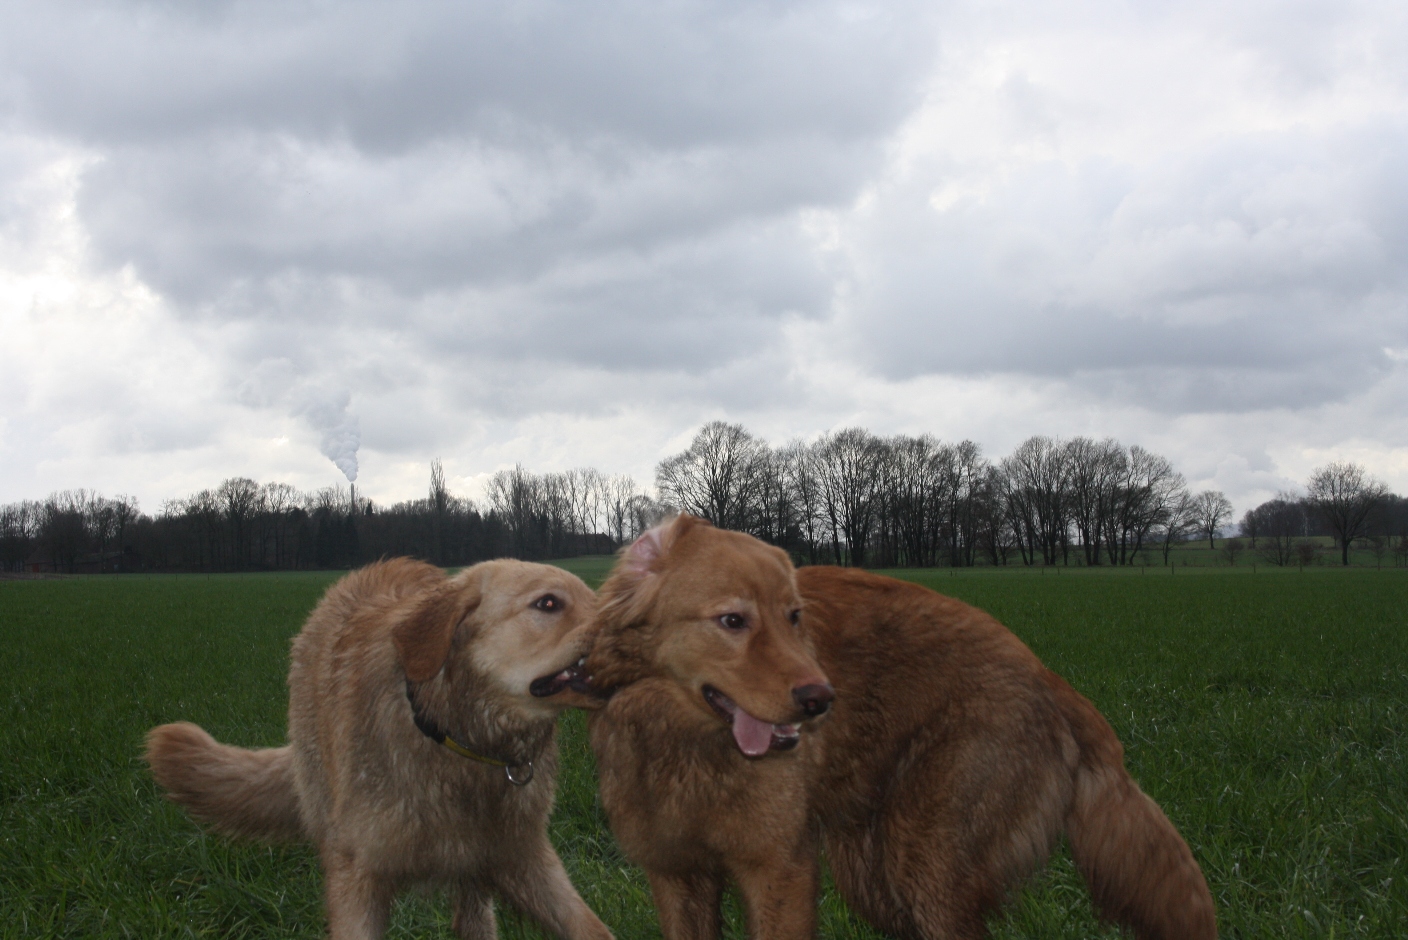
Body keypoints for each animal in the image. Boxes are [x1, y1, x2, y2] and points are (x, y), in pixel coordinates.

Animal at [146, 557, 614, 940]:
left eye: (595, 597)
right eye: (548, 603)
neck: (456, 742)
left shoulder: (522, 856)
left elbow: (592, 928)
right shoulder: (356, 878)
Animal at [585, 515, 1216, 940]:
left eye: (795, 617)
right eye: (733, 621)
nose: (821, 700)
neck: (682, 744)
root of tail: (1046, 676)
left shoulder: (779, 870)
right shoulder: (678, 877)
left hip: (927, 867)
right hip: (875, 874)